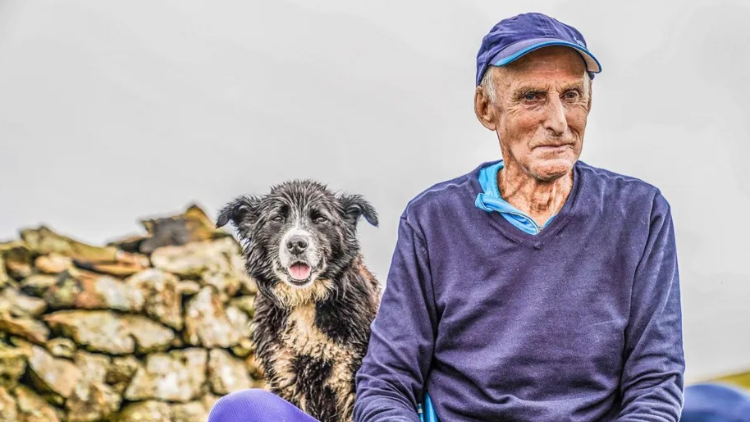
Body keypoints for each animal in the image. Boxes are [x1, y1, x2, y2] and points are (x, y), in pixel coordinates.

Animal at [217, 179, 382, 422]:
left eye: (320, 218)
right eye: (277, 218)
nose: (296, 244)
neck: (306, 301)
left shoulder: (349, 377)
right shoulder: (287, 376)